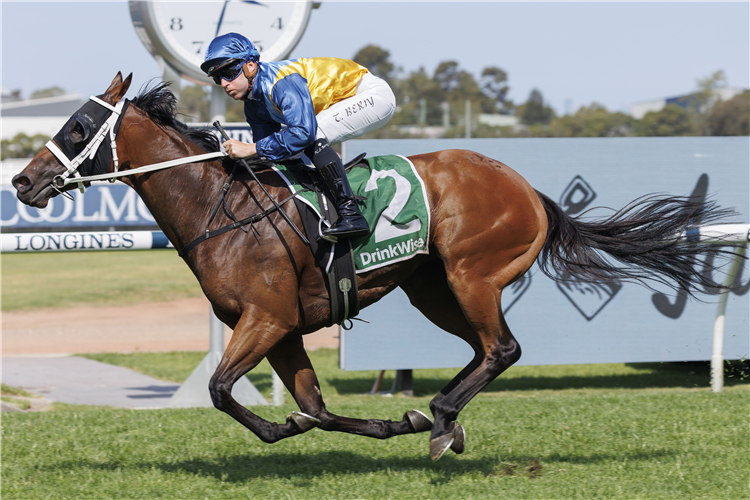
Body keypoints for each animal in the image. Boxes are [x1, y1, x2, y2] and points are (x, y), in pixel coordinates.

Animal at [11, 74, 740, 460]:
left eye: (78, 129)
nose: (21, 181)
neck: (224, 208)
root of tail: (528, 189)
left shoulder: (264, 319)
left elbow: (221, 389)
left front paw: (281, 426)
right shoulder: (284, 329)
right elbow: (315, 407)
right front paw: (383, 422)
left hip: (472, 274)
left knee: (502, 348)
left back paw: (441, 416)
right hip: (434, 291)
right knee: (487, 351)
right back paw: (441, 420)